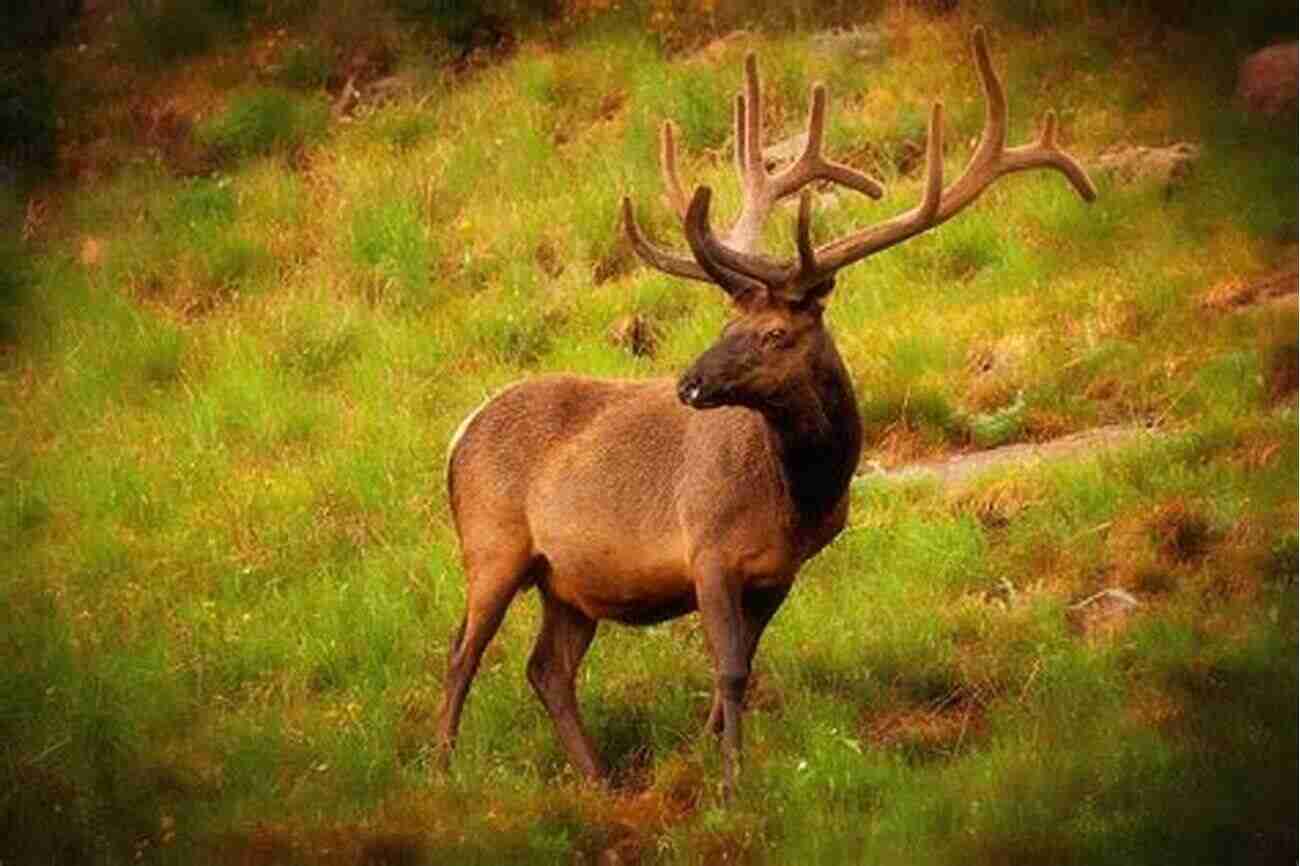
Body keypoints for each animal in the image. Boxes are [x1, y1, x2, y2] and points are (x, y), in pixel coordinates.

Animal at [439, 28, 1097, 795]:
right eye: (729, 321)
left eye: (776, 333)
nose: (690, 384)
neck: (799, 497)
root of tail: (456, 437)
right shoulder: (707, 550)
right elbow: (727, 670)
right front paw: (731, 786)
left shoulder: (781, 572)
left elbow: (742, 671)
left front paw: (710, 761)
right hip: (492, 544)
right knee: (461, 653)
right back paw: (442, 769)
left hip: (567, 581)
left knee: (546, 669)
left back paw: (600, 779)